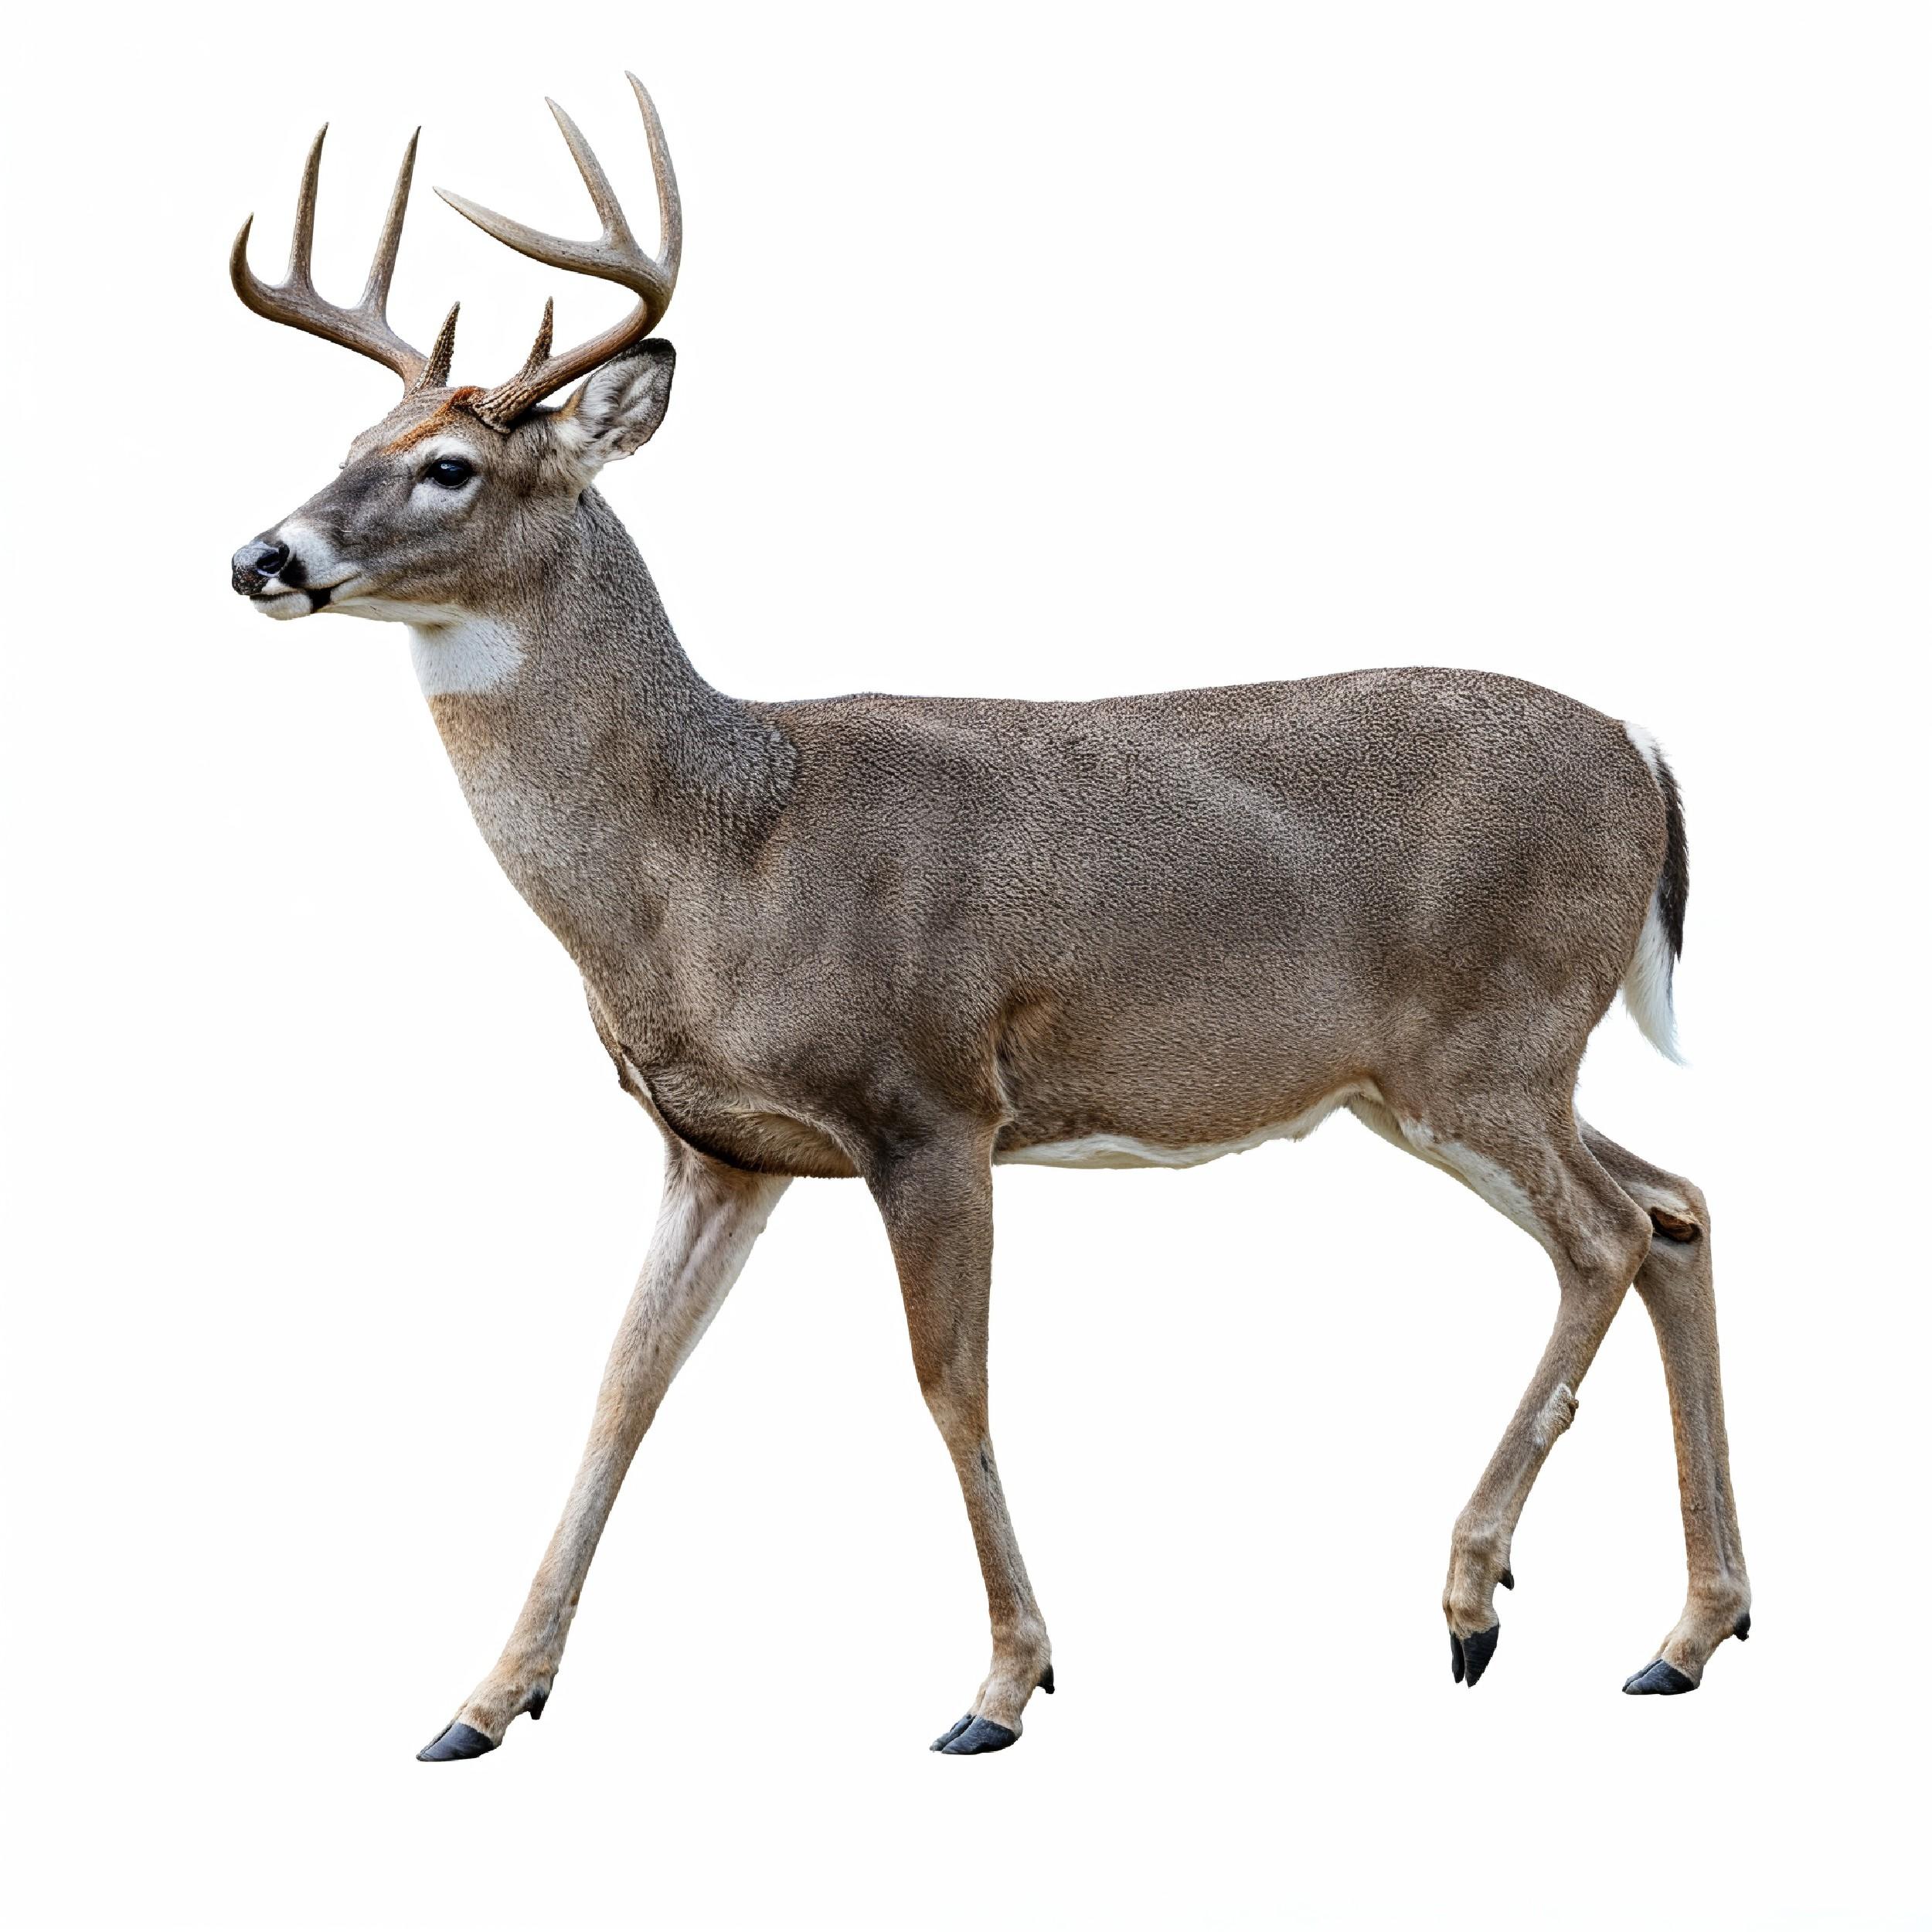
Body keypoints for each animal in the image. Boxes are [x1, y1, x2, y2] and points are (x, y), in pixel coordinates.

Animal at [228, 73, 1751, 1763]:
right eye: (350, 437)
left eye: (452, 466)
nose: (262, 554)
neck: (717, 852)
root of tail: (1646, 752)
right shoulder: (718, 1146)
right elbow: (622, 1385)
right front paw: (487, 1699)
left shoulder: (931, 1099)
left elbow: (947, 1383)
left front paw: (1004, 1686)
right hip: (1465, 1073)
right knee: (1677, 1207)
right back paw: (1687, 1632)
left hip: (1485, 1042)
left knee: (1610, 1234)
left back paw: (1477, 1595)